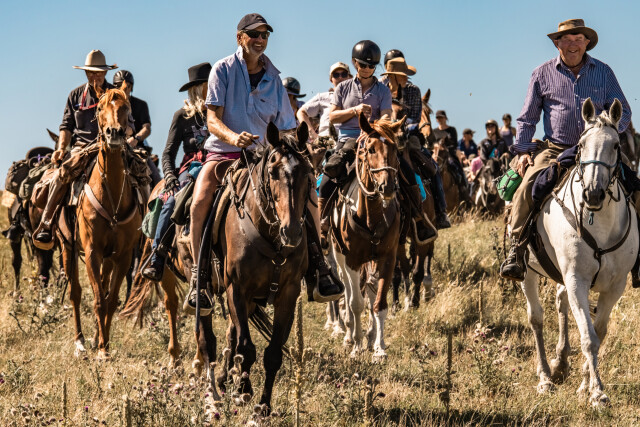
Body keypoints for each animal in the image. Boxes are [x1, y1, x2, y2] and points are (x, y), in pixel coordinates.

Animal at [57, 88, 143, 359]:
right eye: (100, 108)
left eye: (126, 107)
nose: (114, 133)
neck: (111, 194)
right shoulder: (92, 252)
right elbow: (97, 299)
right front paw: (102, 349)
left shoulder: (122, 256)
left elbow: (111, 299)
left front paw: (103, 344)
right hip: (68, 248)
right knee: (75, 294)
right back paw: (81, 341)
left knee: (103, 290)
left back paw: (95, 337)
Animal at [330, 114, 404, 362]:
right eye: (370, 149)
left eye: (395, 148)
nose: (387, 187)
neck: (371, 215)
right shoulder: (352, 260)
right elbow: (355, 304)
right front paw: (356, 347)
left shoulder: (387, 257)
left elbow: (379, 303)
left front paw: (379, 349)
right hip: (339, 257)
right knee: (348, 292)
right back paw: (350, 335)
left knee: (371, 293)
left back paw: (371, 337)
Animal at [521, 98, 637, 407]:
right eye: (582, 145)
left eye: (615, 145)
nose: (593, 194)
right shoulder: (577, 280)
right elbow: (588, 336)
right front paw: (597, 392)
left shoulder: (615, 286)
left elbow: (599, 332)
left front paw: (586, 384)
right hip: (527, 272)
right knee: (536, 319)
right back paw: (545, 377)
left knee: (561, 303)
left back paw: (561, 363)